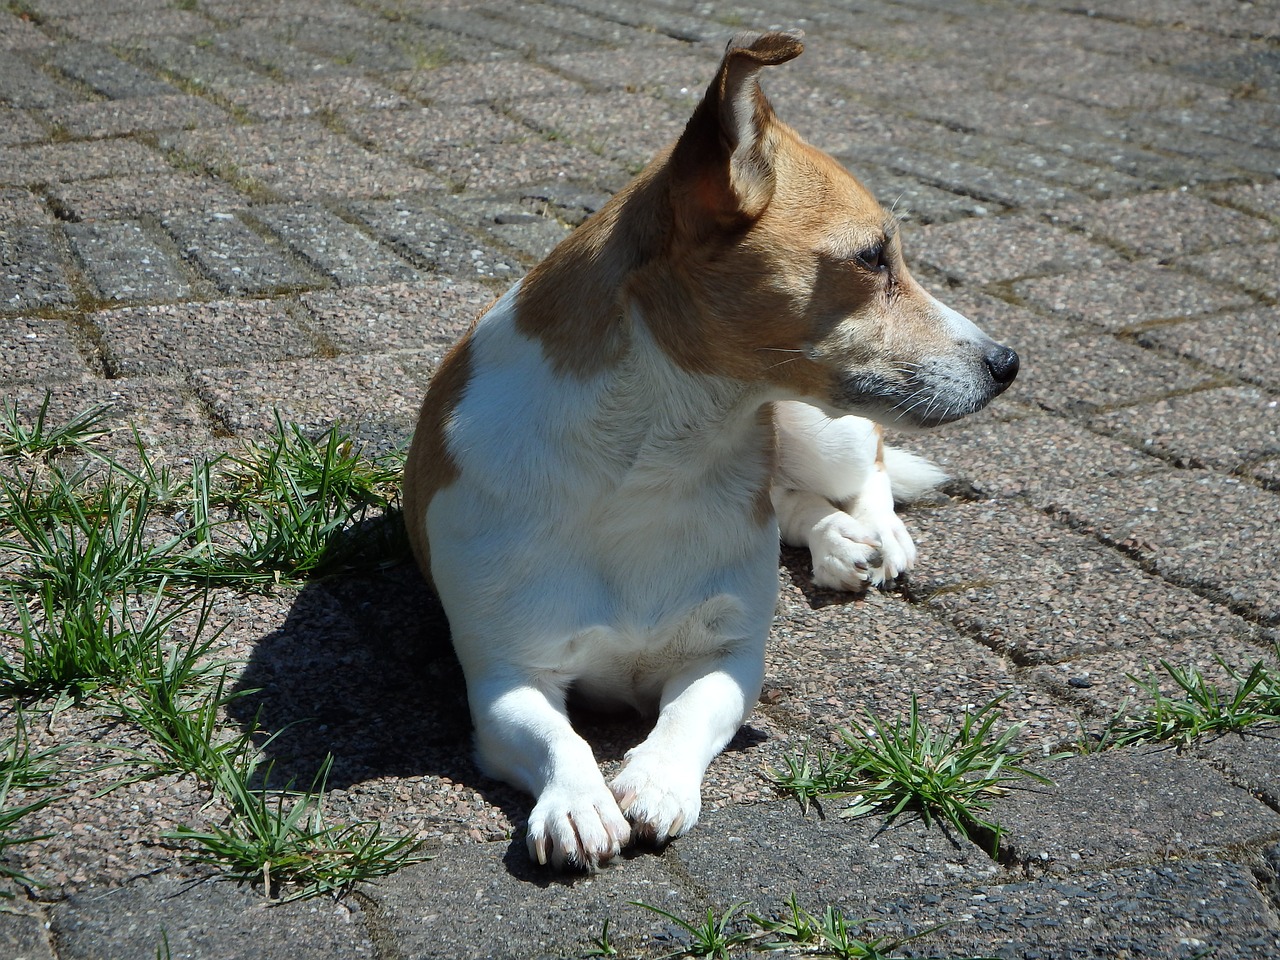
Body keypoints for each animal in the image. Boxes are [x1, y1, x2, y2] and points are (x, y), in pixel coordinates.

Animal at [401, 32, 1018, 870]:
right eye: (871, 259)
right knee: (793, 501)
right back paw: (836, 542)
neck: (660, 456)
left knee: (870, 469)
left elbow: (686, 720)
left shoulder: (727, 660)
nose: (1009, 362)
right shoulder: (504, 678)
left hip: (824, 427)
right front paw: (579, 802)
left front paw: (654, 781)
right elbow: (559, 738)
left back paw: (878, 533)